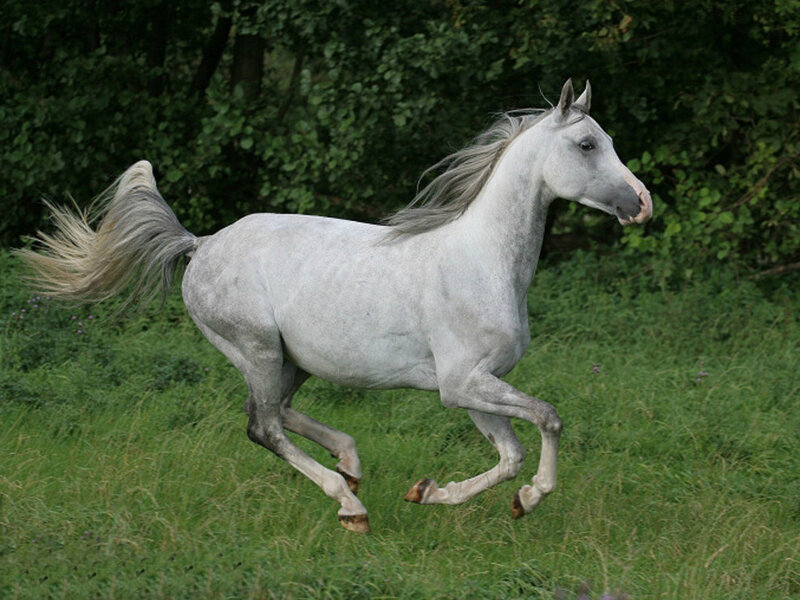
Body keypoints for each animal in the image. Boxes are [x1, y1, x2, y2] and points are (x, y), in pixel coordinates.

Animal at [17, 80, 652, 533]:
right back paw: (348, 503)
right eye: (588, 144)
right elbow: (548, 418)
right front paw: (529, 498)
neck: (481, 262)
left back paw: (351, 463)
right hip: (255, 349)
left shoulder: (475, 386)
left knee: (277, 412)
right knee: (263, 426)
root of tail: (200, 243)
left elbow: (511, 455)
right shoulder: (463, 383)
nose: (641, 204)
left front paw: (434, 493)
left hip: (289, 361)